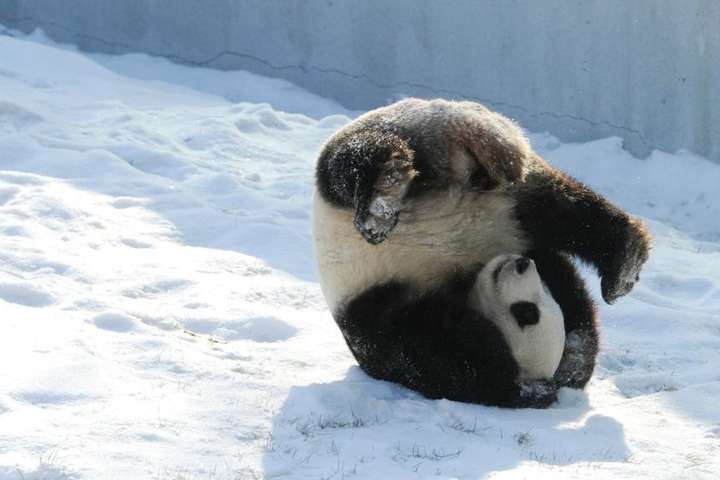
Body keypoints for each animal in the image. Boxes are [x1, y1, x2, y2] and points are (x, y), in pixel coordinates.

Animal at [312, 98, 648, 408]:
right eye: (527, 311)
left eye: (533, 303)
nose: (522, 264)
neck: (468, 277)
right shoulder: (382, 302)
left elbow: (443, 357)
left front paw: (554, 377)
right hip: (411, 140)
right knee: (354, 161)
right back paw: (381, 196)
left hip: (505, 206)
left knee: (566, 211)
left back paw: (625, 261)